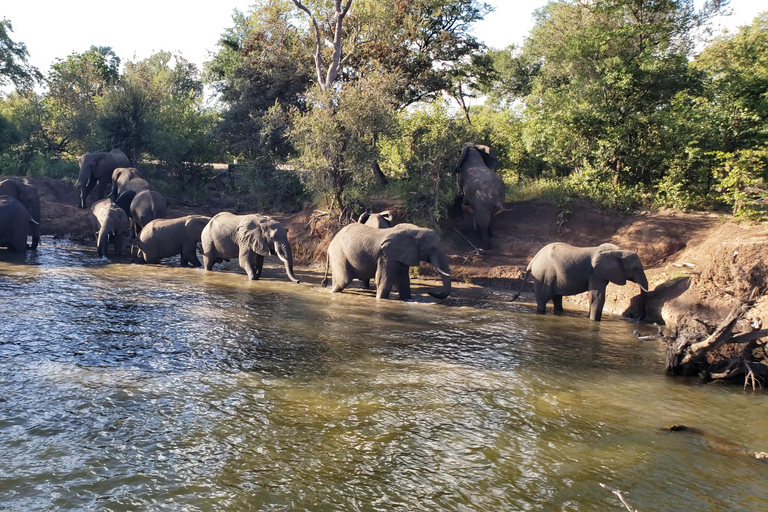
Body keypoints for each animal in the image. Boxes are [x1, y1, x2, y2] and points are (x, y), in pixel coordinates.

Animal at [512, 243, 652, 320]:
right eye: (635, 268)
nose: (637, 319)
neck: (618, 251)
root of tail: (532, 261)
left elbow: (594, 297)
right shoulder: (595, 273)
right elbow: (597, 296)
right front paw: (594, 321)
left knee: (557, 298)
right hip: (542, 275)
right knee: (542, 301)